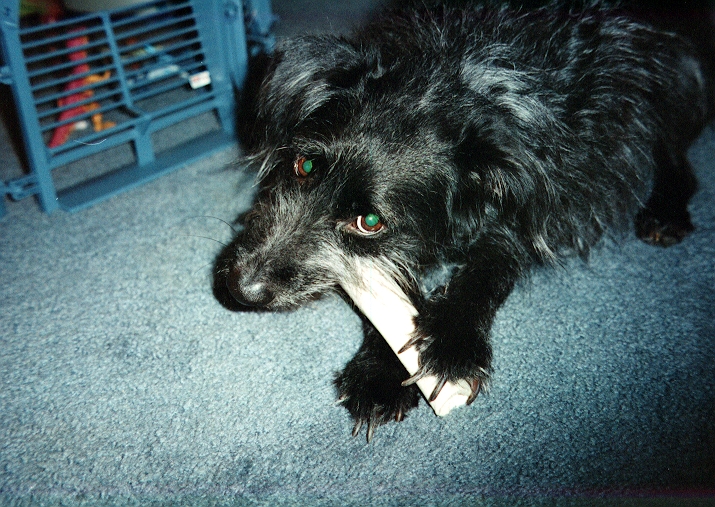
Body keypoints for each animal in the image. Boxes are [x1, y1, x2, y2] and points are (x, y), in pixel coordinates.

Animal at [213, 1, 714, 441]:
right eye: (304, 166)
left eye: (369, 221)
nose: (242, 288)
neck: (460, 73)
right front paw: (380, 373)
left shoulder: (544, 198)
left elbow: (491, 262)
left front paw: (453, 343)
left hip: (665, 86)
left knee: (674, 153)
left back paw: (666, 211)